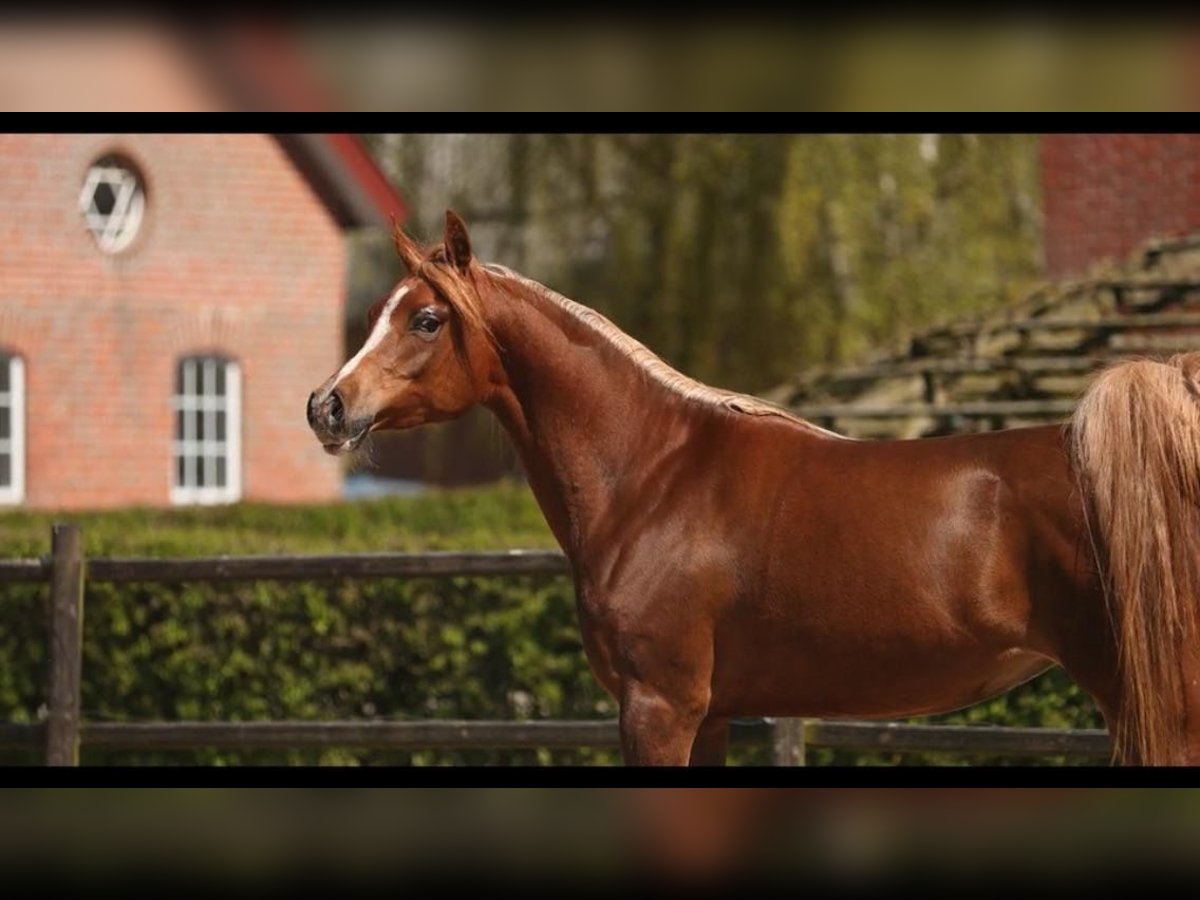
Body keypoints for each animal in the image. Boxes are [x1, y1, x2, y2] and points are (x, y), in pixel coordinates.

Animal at [307, 213, 1200, 768]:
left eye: (426, 320)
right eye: (381, 310)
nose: (328, 406)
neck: (654, 475)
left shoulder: (659, 705)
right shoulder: (711, 712)